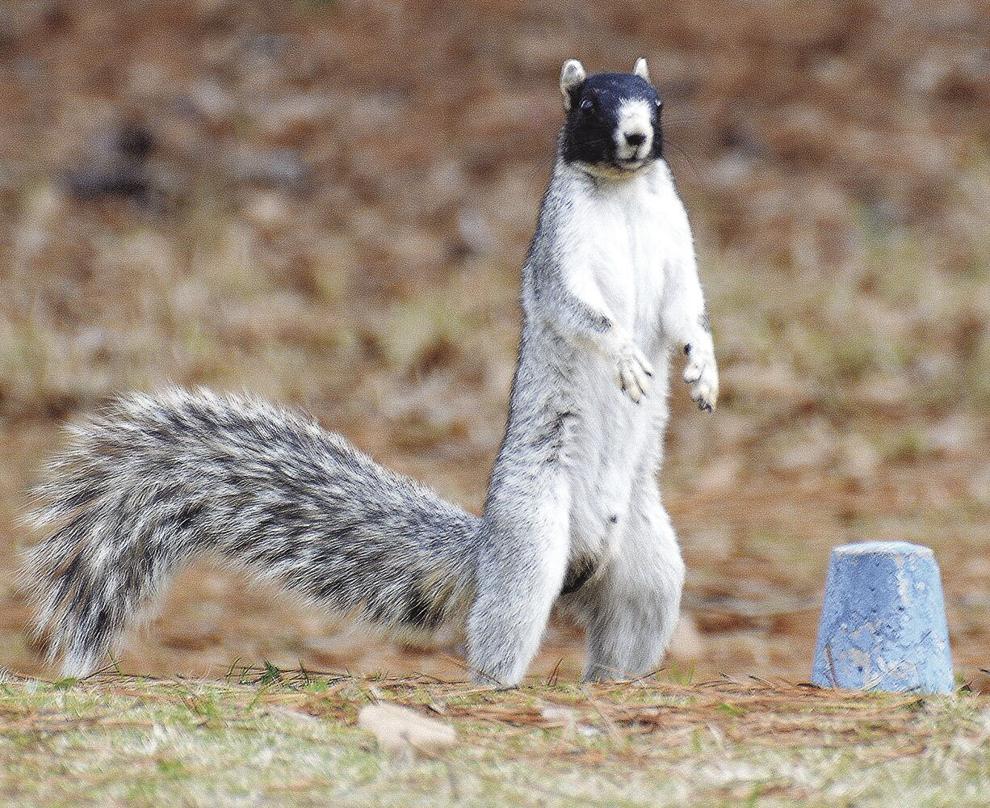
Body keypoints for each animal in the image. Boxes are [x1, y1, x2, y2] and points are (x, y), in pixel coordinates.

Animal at [22, 58, 718, 687]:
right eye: (591, 105)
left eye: (657, 102)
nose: (636, 136)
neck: (622, 196)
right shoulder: (560, 251)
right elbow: (580, 308)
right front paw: (625, 356)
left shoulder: (677, 243)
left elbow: (686, 308)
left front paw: (703, 368)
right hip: (533, 533)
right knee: (504, 625)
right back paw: (501, 683)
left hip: (652, 567)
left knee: (625, 629)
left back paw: (620, 683)